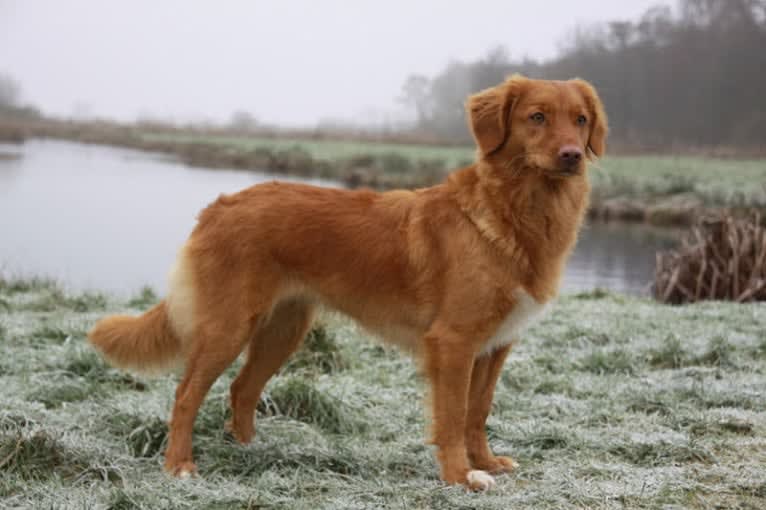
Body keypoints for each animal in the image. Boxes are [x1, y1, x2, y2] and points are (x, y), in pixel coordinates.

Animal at [88, 75, 608, 490]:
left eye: (580, 120)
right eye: (537, 117)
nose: (572, 156)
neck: (515, 213)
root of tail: (221, 206)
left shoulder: (495, 346)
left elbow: (478, 412)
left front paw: (487, 463)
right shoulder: (454, 343)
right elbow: (453, 416)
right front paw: (461, 476)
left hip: (282, 331)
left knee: (241, 389)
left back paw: (252, 452)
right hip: (227, 328)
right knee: (185, 395)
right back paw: (179, 465)